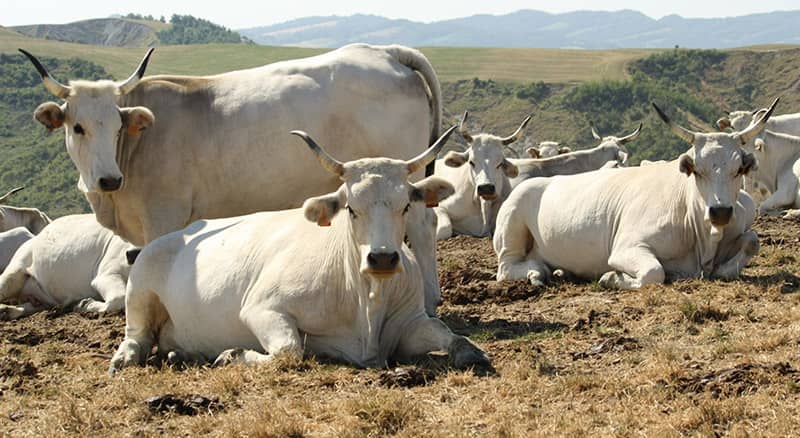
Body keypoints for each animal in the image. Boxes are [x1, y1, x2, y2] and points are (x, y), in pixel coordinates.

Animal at [0, 215, 133, 320]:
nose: (131, 254)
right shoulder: (106, 273)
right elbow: (119, 298)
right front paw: (84, 304)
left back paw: (8, 311)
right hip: (16, 267)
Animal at [23, 44, 450, 316]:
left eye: (117, 126)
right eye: (77, 127)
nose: (109, 179)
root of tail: (384, 51)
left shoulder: (164, 217)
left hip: (402, 173)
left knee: (421, 224)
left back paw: (430, 299)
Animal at [109, 126, 490, 372]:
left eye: (405, 206)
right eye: (351, 209)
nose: (382, 258)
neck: (367, 300)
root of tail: (180, 234)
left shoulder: (411, 322)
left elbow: (452, 336)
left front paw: (471, 353)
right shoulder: (262, 308)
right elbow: (290, 350)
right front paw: (233, 354)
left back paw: (181, 355)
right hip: (140, 290)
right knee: (137, 337)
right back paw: (124, 359)